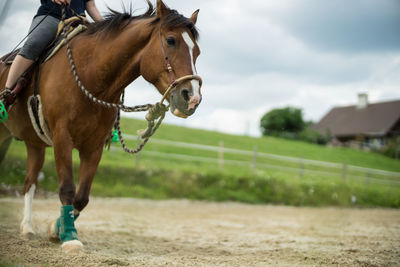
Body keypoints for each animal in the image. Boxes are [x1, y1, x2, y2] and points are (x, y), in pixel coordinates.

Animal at [0, 0, 200, 254]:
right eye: (171, 41)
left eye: (197, 51)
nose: (192, 98)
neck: (91, 76)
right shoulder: (62, 138)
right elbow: (67, 188)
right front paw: (70, 238)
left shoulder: (94, 146)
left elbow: (82, 197)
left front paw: (57, 229)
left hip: (34, 143)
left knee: (30, 182)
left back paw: (27, 227)